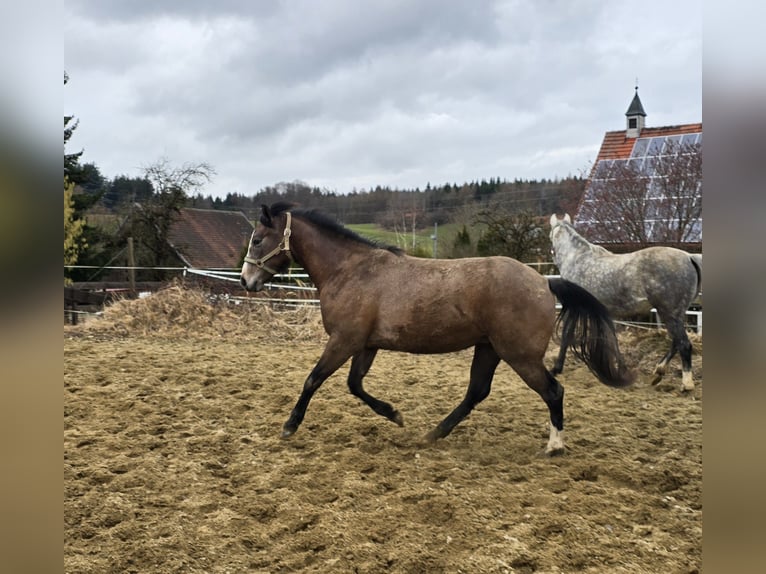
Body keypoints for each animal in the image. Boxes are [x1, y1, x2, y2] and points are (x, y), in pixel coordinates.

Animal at [240, 202, 633, 455]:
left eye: (258, 239)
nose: (246, 281)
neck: (350, 270)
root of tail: (544, 282)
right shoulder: (365, 345)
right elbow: (355, 385)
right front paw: (395, 415)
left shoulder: (344, 341)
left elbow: (313, 380)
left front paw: (289, 426)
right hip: (489, 349)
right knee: (476, 393)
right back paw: (432, 435)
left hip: (519, 355)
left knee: (553, 391)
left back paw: (554, 446)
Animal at [549, 214, 702, 392]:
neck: (577, 260)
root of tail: (689, 257)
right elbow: (611, 340)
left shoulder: (575, 308)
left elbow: (566, 335)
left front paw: (556, 368)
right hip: (675, 313)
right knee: (676, 342)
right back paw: (658, 371)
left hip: (669, 312)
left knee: (684, 344)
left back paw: (686, 384)